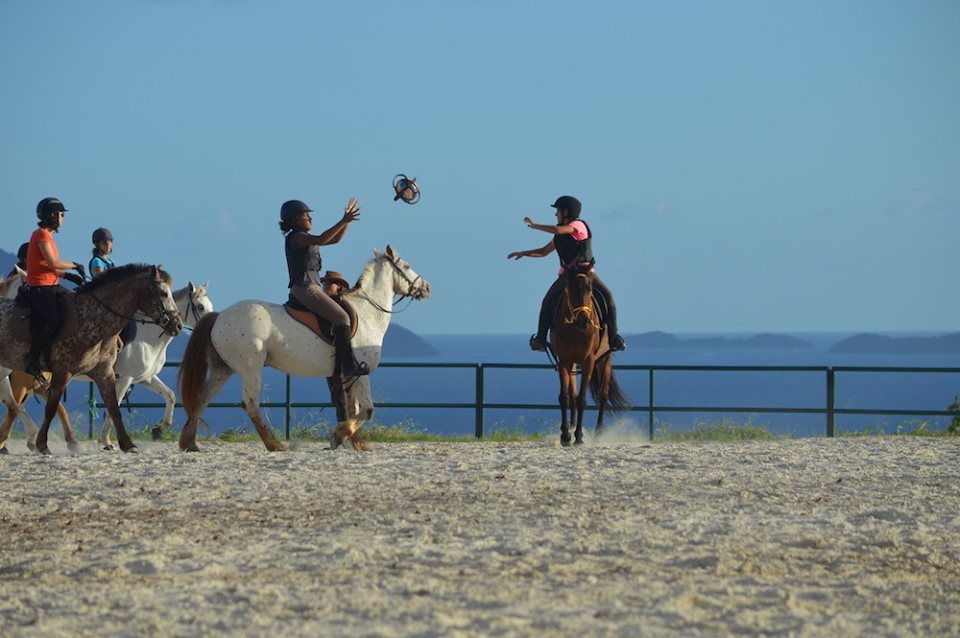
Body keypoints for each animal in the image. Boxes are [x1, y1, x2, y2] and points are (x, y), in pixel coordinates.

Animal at [548, 268, 632, 448]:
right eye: (570, 289)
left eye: (589, 290)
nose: (583, 320)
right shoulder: (565, 361)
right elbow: (565, 397)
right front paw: (566, 435)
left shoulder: (589, 362)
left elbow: (582, 399)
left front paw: (579, 436)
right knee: (573, 395)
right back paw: (572, 426)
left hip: (604, 361)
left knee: (603, 395)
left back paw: (598, 432)